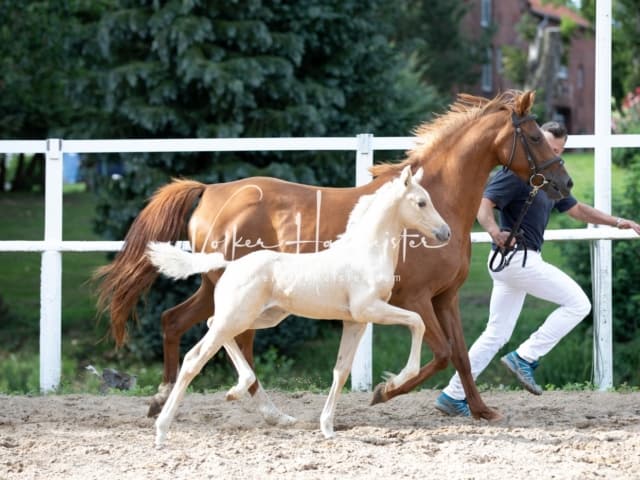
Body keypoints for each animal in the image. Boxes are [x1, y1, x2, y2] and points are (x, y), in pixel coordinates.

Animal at [149, 166, 450, 446]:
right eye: (421, 202)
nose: (445, 232)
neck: (365, 253)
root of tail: (230, 264)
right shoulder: (369, 309)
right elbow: (417, 322)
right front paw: (392, 383)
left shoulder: (355, 321)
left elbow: (341, 371)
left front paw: (328, 428)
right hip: (237, 317)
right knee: (194, 358)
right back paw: (162, 430)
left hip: (259, 317)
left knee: (210, 329)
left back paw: (236, 390)